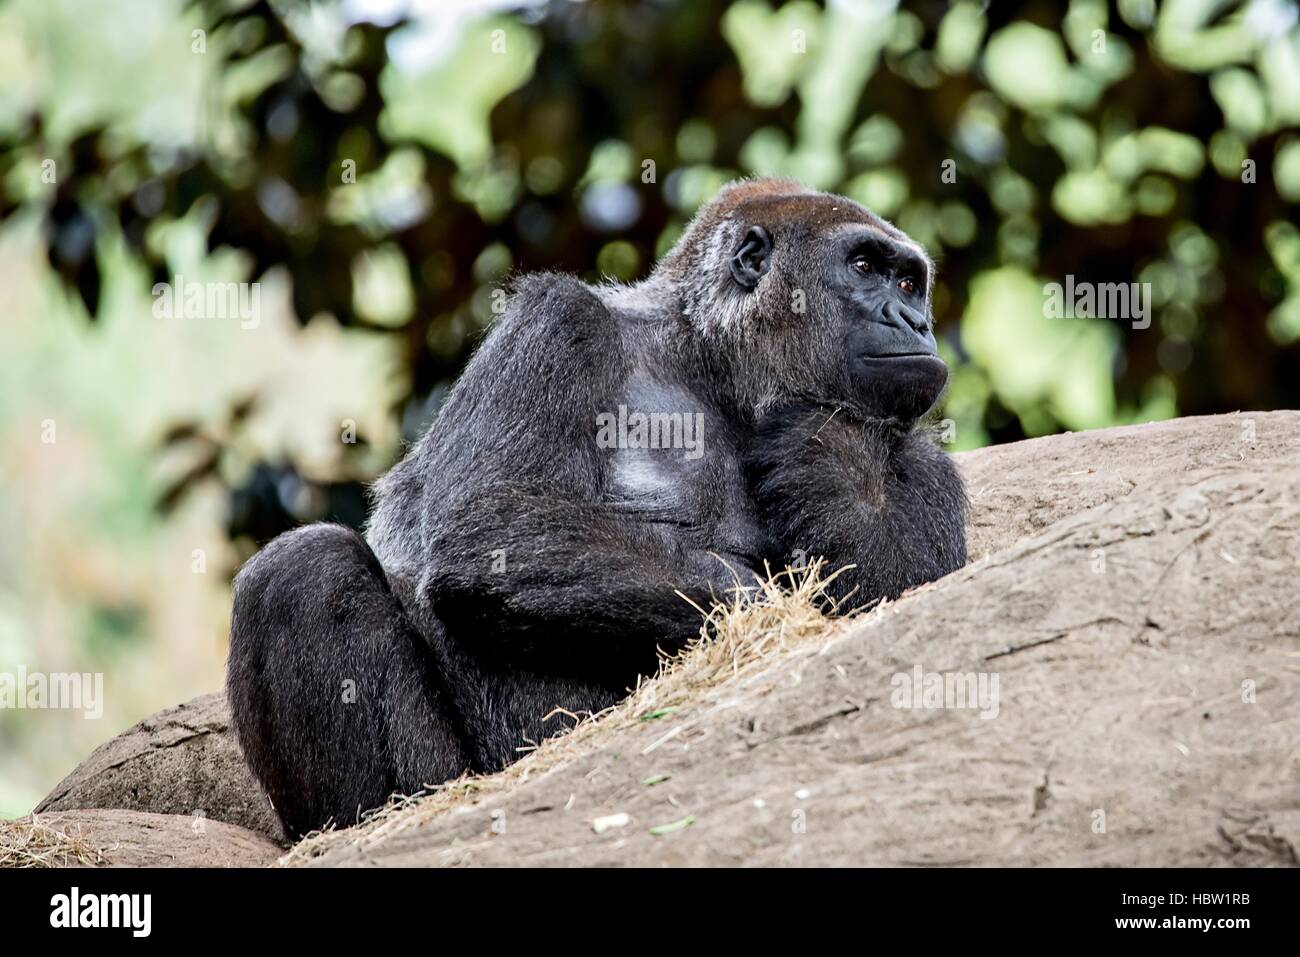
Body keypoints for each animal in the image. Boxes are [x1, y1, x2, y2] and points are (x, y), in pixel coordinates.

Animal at [226, 179, 967, 837]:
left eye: (910, 284)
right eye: (865, 267)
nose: (916, 322)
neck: (703, 356)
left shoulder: (923, 455)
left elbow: (894, 588)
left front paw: (829, 441)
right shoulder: (557, 319)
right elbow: (493, 524)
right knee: (304, 567)